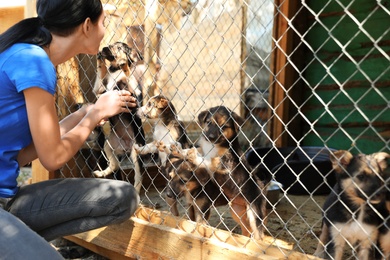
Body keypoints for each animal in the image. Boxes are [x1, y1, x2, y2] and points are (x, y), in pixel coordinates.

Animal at [92, 42, 145, 193]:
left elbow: (128, 75)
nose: (104, 48)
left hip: (137, 153)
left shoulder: (135, 96)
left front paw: (124, 63)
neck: (115, 71)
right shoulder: (99, 90)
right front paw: (100, 61)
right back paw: (101, 173)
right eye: (110, 45)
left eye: (120, 48)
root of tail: (125, 148)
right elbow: (100, 76)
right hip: (108, 145)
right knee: (114, 165)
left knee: (138, 178)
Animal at [172, 105, 270, 240]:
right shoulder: (204, 150)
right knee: (246, 229)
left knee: (258, 232)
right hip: (237, 211)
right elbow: (198, 152)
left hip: (255, 212)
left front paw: (191, 156)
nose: (211, 137)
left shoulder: (222, 163)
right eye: (209, 123)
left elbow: (206, 160)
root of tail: (262, 184)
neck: (214, 145)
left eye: (223, 127)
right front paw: (179, 150)